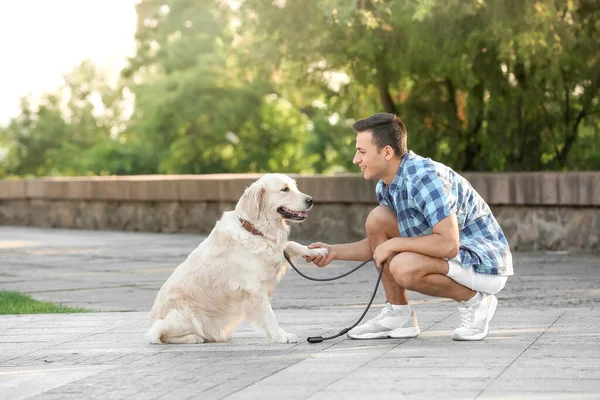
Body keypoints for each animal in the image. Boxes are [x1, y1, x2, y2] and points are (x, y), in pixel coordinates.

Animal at [149, 173, 328, 344]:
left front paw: (316, 251)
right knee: (158, 335)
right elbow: (269, 316)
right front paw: (281, 336)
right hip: (182, 316)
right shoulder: (255, 289)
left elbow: (290, 244)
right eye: (284, 189)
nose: (311, 200)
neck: (254, 229)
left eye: (295, 186)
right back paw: (193, 338)